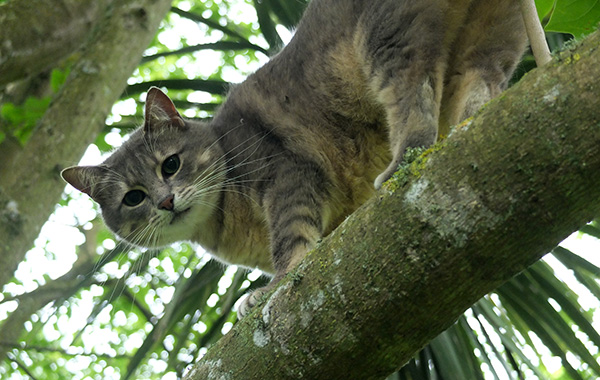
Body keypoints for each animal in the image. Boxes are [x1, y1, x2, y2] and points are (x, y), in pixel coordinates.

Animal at [62, 0, 524, 318]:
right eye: (133, 198)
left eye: (170, 165)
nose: (165, 201)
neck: (225, 229)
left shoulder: (289, 175)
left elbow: (292, 242)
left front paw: (271, 289)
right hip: (488, 43)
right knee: (480, 86)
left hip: (389, 43)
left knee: (415, 100)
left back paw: (403, 161)